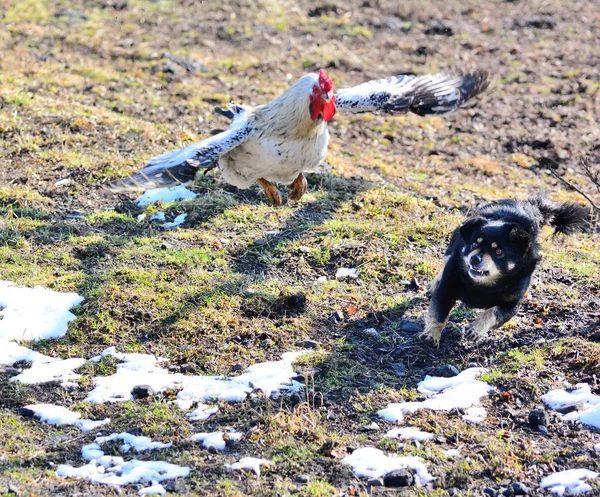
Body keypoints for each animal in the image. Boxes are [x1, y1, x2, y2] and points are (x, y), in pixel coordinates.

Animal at [424, 195, 588, 344]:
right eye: (474, 244)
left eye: (498, 252)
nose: (474, 258)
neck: (484, 284)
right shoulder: (448, 287)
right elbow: (439, 313)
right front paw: (431, 335)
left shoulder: (512, 304)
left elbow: (493, 312)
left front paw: (476, 329)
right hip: (451, 249)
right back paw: (434, 285)